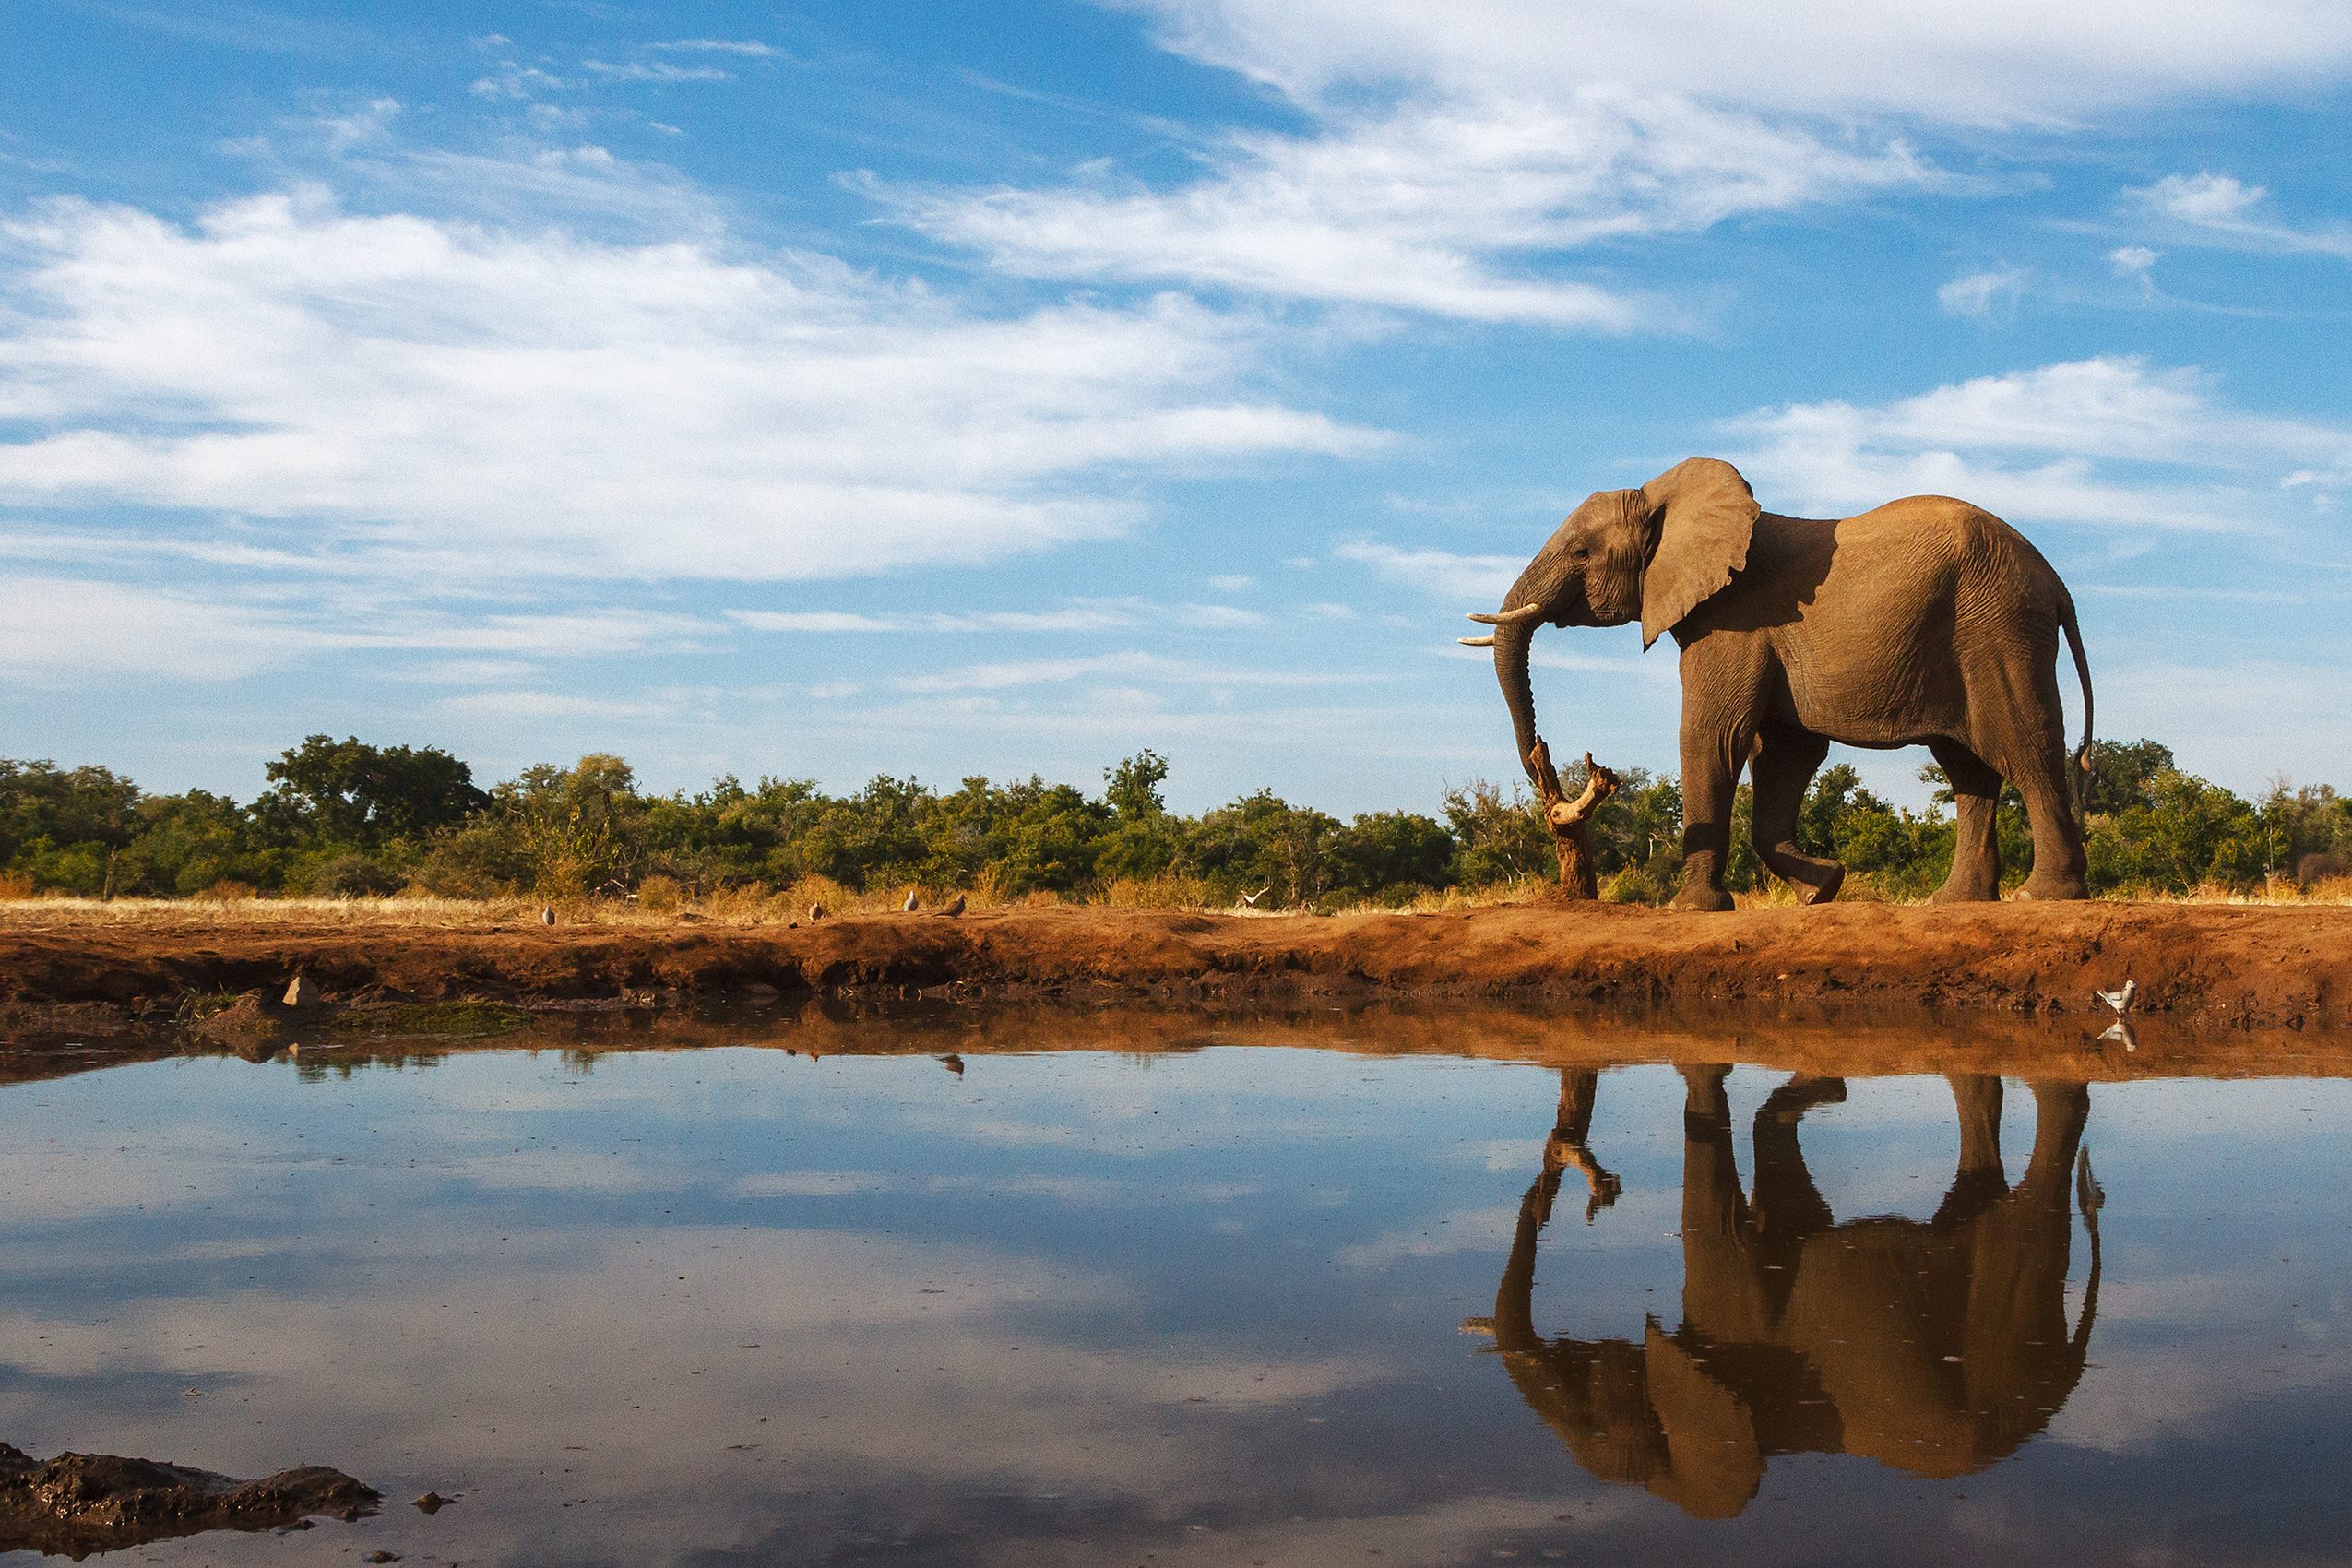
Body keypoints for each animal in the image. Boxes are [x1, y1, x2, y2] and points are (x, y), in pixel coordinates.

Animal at [1463, 459, 2094, 908]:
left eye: (1579, 552)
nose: (1545, 759)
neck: (1663, 496)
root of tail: (2057, 583)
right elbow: (1785, 752)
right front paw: (1822, 889)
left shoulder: (1732, 619)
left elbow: (1714, 735)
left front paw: (1690, 908)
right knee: (1968, 768)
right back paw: (1955, 902)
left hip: (1997, 629)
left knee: (2023, 745)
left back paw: (2041, 896)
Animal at [1474, 1066, 2100, 1518]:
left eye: (1589, 1413)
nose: (1586, 1184)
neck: (1675, 1478)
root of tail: (2061, 1384)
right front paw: (1829, 1088)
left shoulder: (1733, 1319)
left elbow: (1719, 1212)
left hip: (2006, 1334)